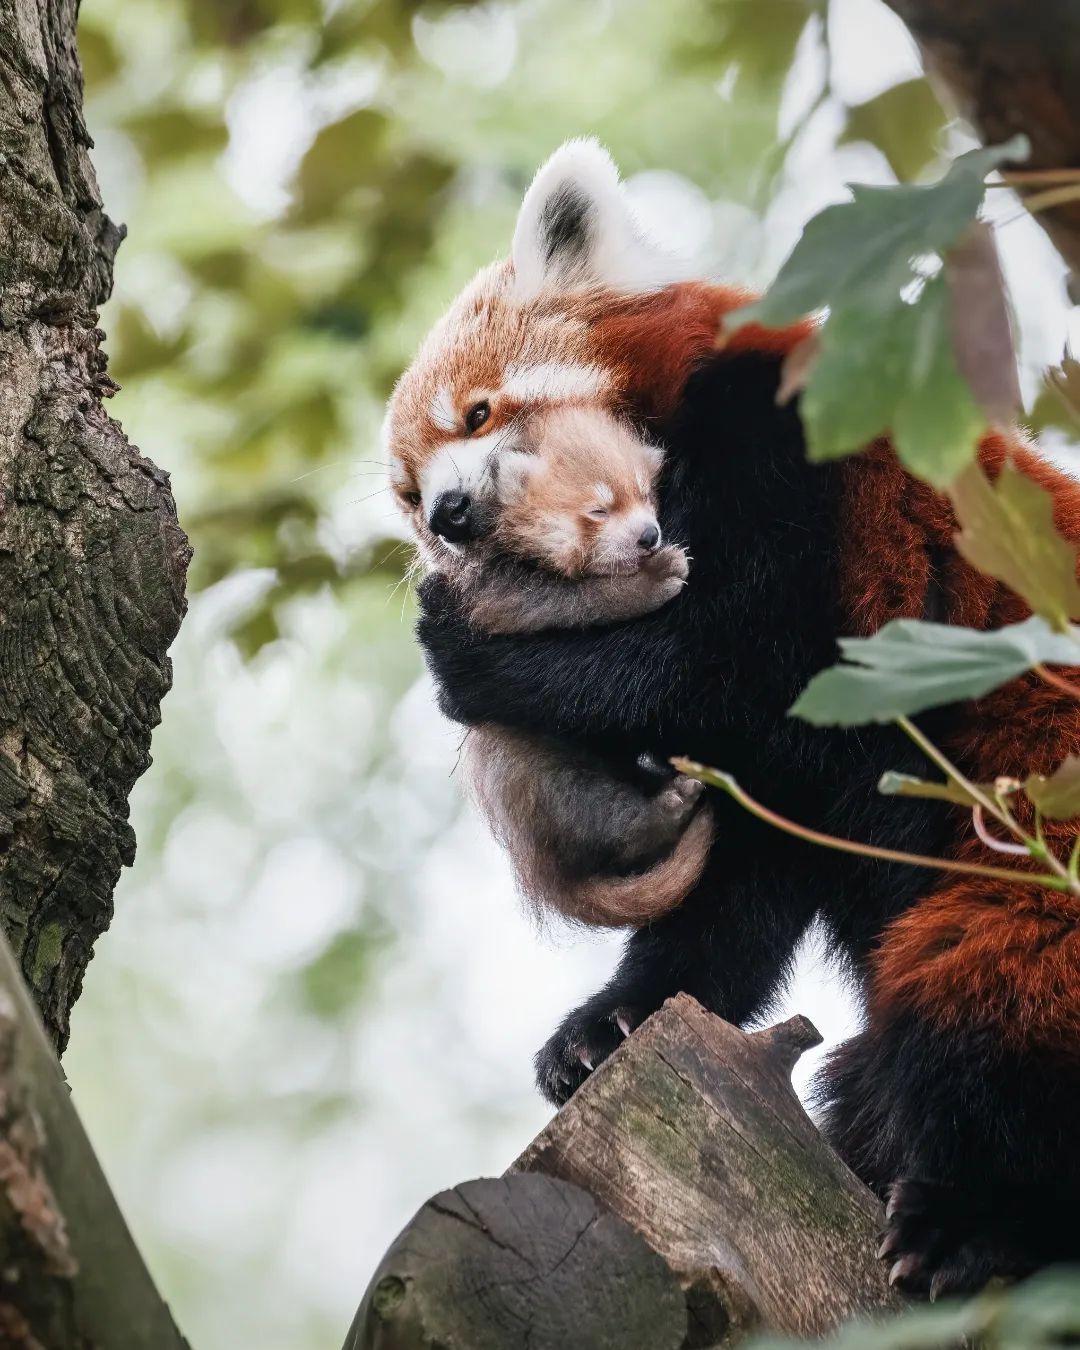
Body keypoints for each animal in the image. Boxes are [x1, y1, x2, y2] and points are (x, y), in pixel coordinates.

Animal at [388, 139, 1080, 1296]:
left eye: (477, 415)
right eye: (405, 495)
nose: (447, 517)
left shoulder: (799, 478)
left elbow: (737, 667)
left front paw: (481, 660)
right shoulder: (799, 781)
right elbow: (744, 870)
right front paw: (612, 1021)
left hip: (1037, 846)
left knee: (993, 981)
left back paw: (976, 1223)